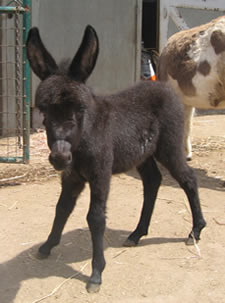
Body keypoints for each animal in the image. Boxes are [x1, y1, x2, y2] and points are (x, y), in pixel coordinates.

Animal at [26, 26, 206, 294]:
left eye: (80, 109)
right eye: (43, 111)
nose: (60, 157)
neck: (84, 139)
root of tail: (164, 87)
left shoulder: (100, 173)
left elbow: (95, 217)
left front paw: (96, 273)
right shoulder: (72, 177)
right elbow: (62, 208)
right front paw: (47, 246)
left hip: (169, 148)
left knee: (188, 179)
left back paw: (195, 230)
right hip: (142, 154)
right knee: (153, 181)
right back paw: (137, 234)